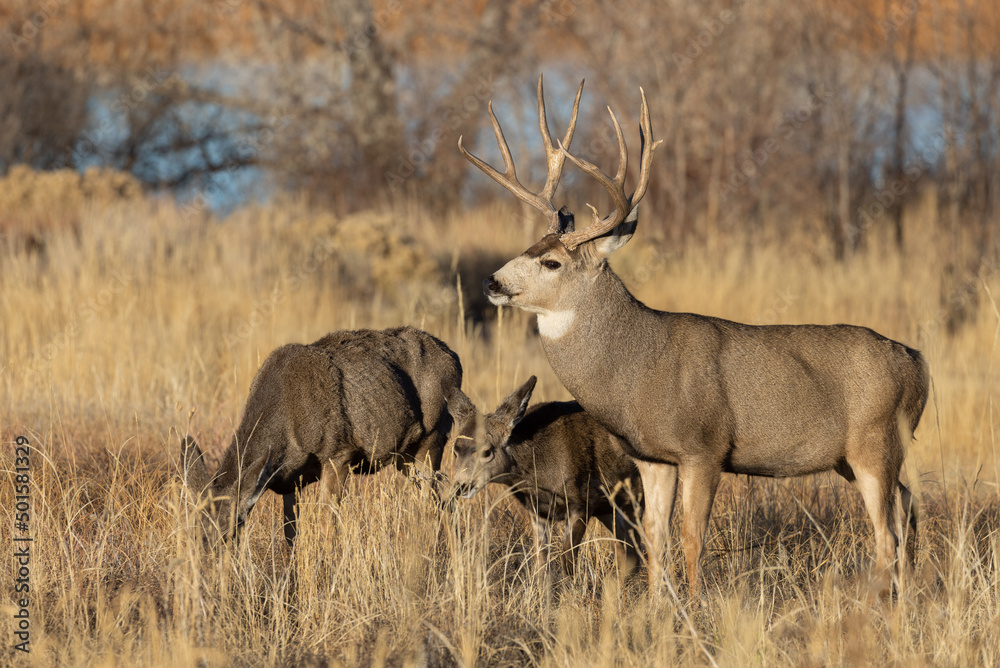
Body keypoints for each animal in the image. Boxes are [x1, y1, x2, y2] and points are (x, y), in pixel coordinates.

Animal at [180, 326, 462, 546]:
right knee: (442, 496)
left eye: (230, 530)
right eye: (193, 532)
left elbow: (329, 526)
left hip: (433, 437)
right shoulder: (289, 481)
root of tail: (455, 359)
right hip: (405, 457)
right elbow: (290, 534)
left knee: (434, 500)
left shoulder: (339, 454)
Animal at [448, 376, 644, 579]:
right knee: (630, 552)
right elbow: (541, 558)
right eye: (455, 449)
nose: (461, 485)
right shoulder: (537, 510)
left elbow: (567, 559)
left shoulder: (582, 501)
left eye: (487, 451)